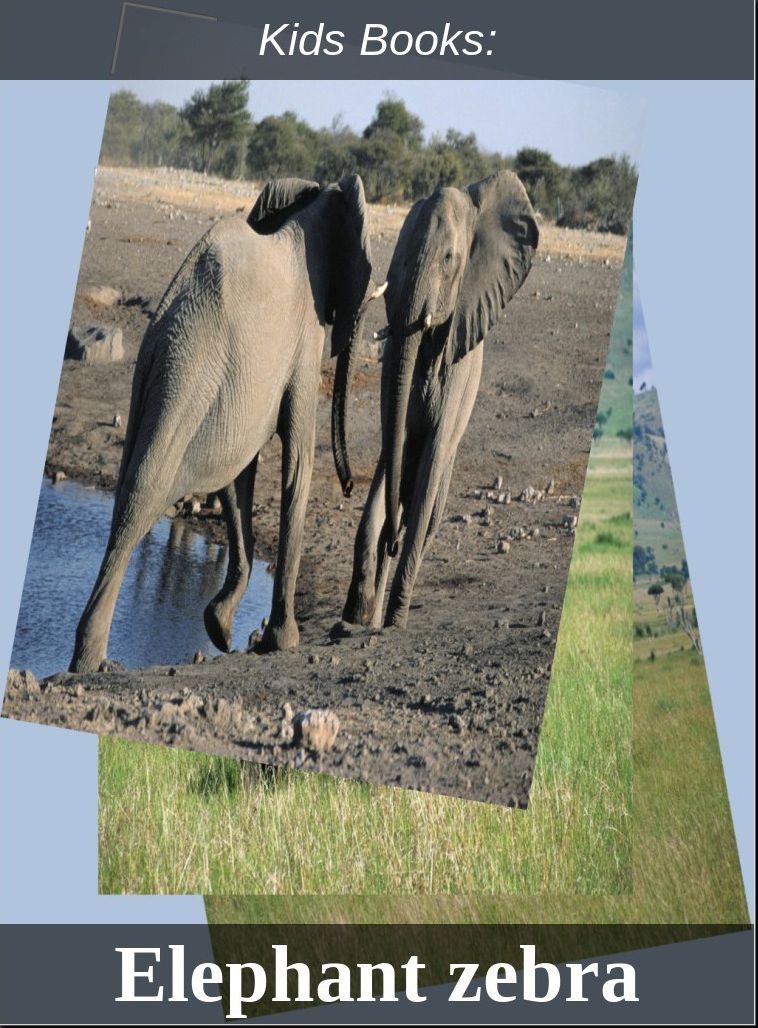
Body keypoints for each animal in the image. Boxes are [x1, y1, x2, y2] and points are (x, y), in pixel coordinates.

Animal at [70, 174, 385, 673]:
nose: (352, 486)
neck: (311, 204)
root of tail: (160, 337)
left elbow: (239, 479)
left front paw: (220, 630)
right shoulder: (304, 341)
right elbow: (296, 461)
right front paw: (282, 642)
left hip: (167, 383)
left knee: (129, 491)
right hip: (190, 380)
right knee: (145, 493)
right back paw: (94, 664)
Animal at [343, 170, 538, 630]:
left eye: (449, 259)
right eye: (396, 255)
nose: (392, 545)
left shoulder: (458, 369)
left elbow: (429, 468)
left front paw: (394, 623)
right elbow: (391, 450)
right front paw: (357, 614)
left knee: (427, 511)